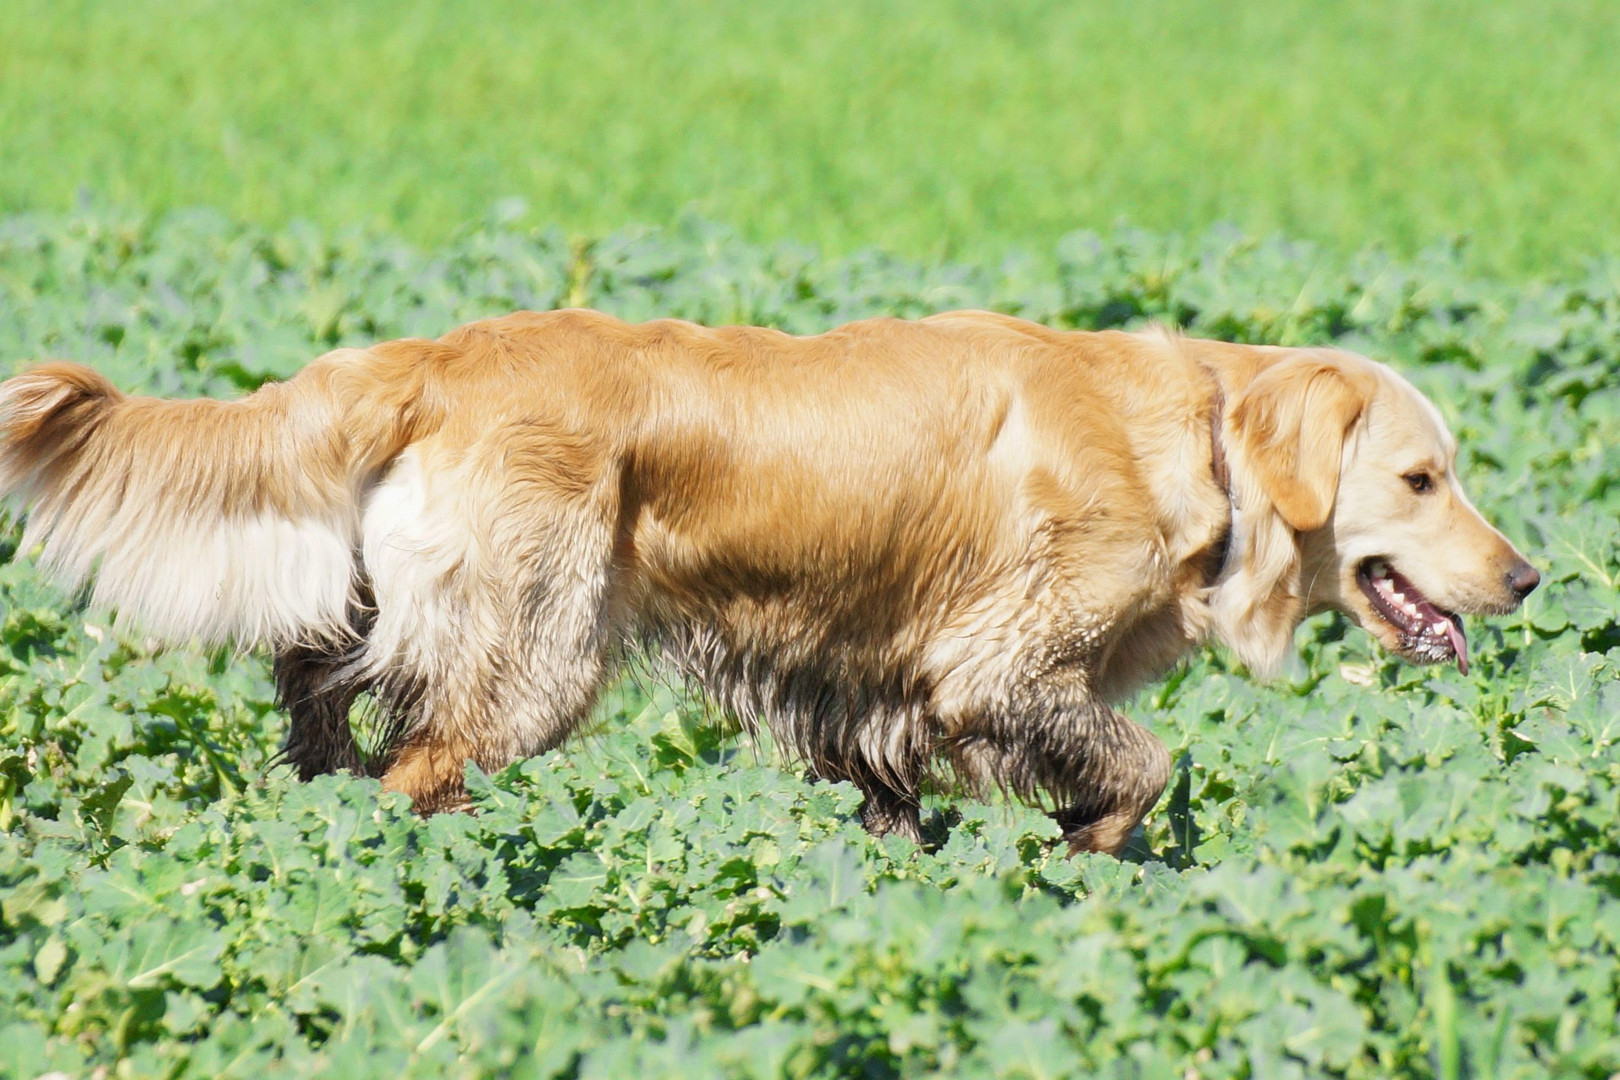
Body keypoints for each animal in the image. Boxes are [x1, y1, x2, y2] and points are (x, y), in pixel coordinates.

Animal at [0, 310, 1535, 854]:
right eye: (1422, 479)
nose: (1525, 578)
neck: (1199, 440)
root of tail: (431, 354)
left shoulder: (876, 689)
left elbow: (902, 806)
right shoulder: (996, 663)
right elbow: (1144, 764)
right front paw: (1092, 850)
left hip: (420, 611)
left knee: (320, 681)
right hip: (542, 653)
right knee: (413, 766)